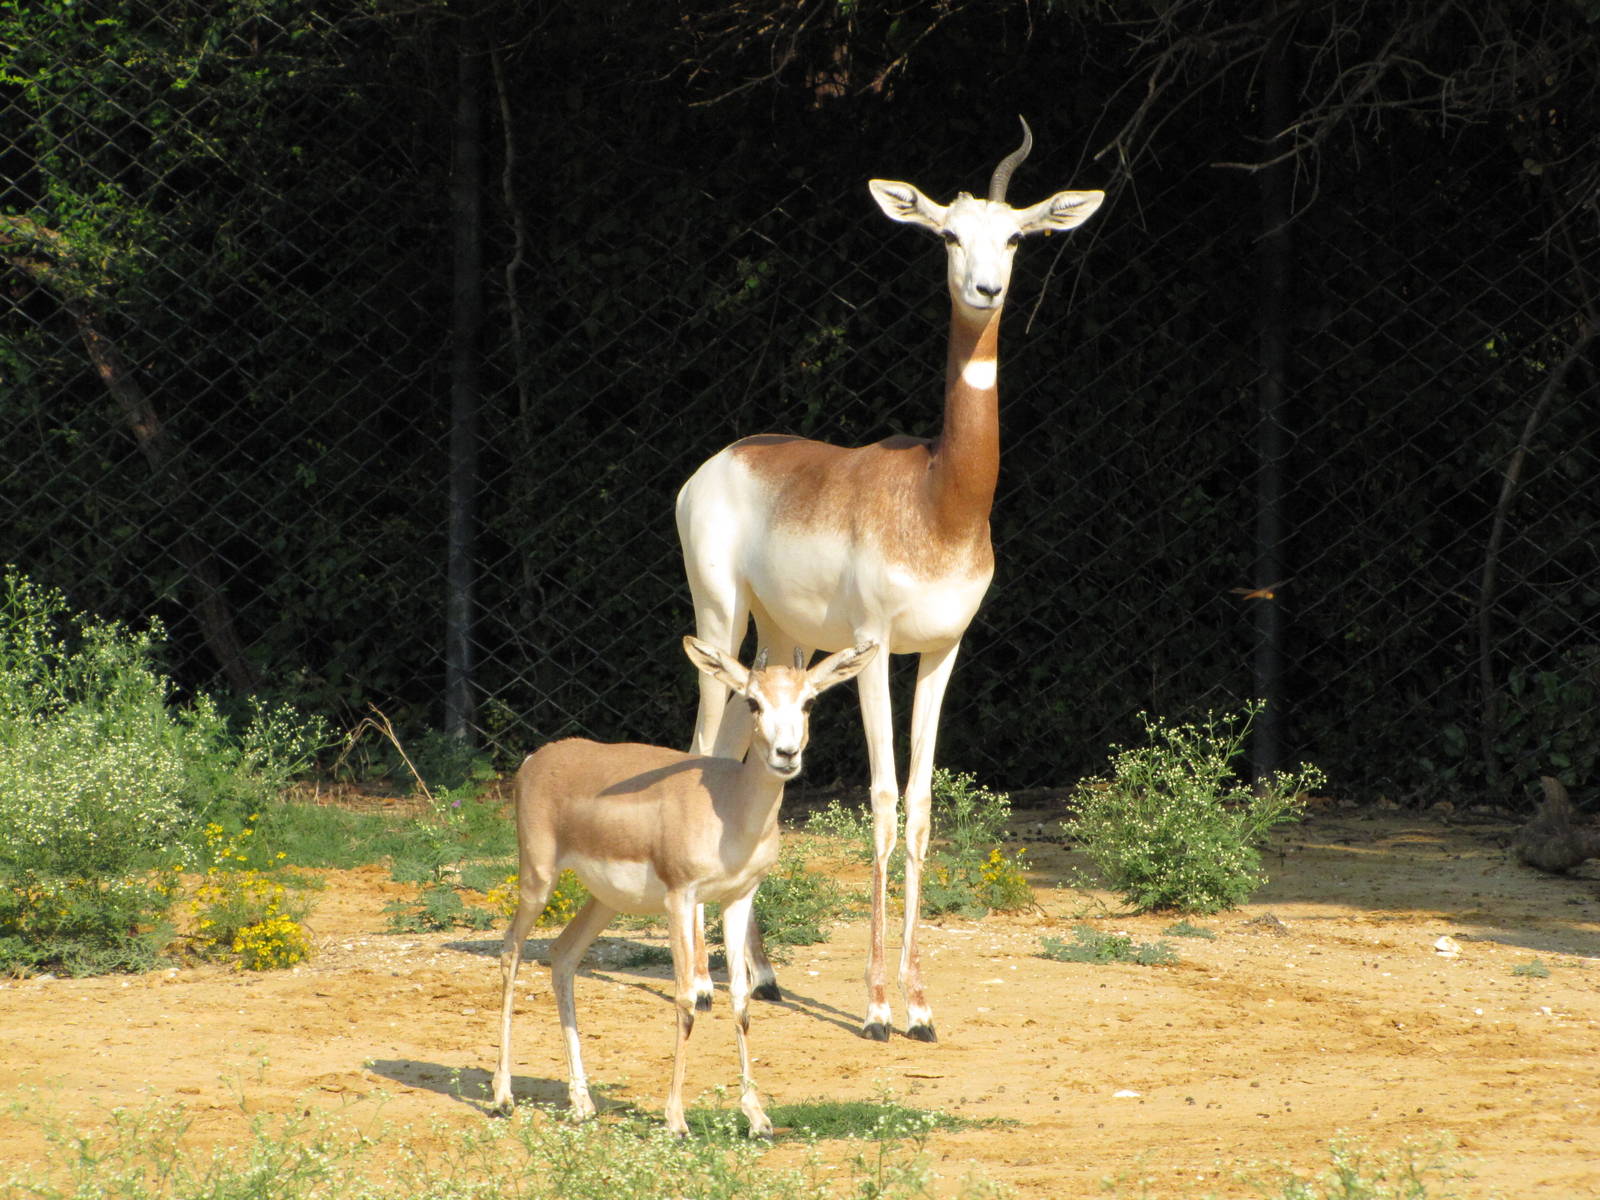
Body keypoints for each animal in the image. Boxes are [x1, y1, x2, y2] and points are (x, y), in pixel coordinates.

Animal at [490, 635, 877, 1136]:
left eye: (809, 701)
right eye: (753, 701)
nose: (786, 754)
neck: (730, 806)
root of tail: (541, 757)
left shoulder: (738, 897)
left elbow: (741, 999)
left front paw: (757, 1116)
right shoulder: (682, 897)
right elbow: (686, 997)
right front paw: (676, 1118)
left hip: (604, 901)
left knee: (562, 957)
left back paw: (582, 1102)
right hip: (538, 880)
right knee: (511, 952)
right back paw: (502, 1096)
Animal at [676, 118, 1103, 1042]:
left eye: (1016, 236)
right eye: (946, 234)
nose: (984, 288)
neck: (939, 501)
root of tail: (722, 460)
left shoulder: (942, 652)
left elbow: (923, 803)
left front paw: (921, 1003)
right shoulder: (873, 649)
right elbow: (878, 800)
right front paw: (875, 1006)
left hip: (786, 643)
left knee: (744, 753)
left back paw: (760, 973)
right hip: (721, 620)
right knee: (700, 750)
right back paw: (699, 980)